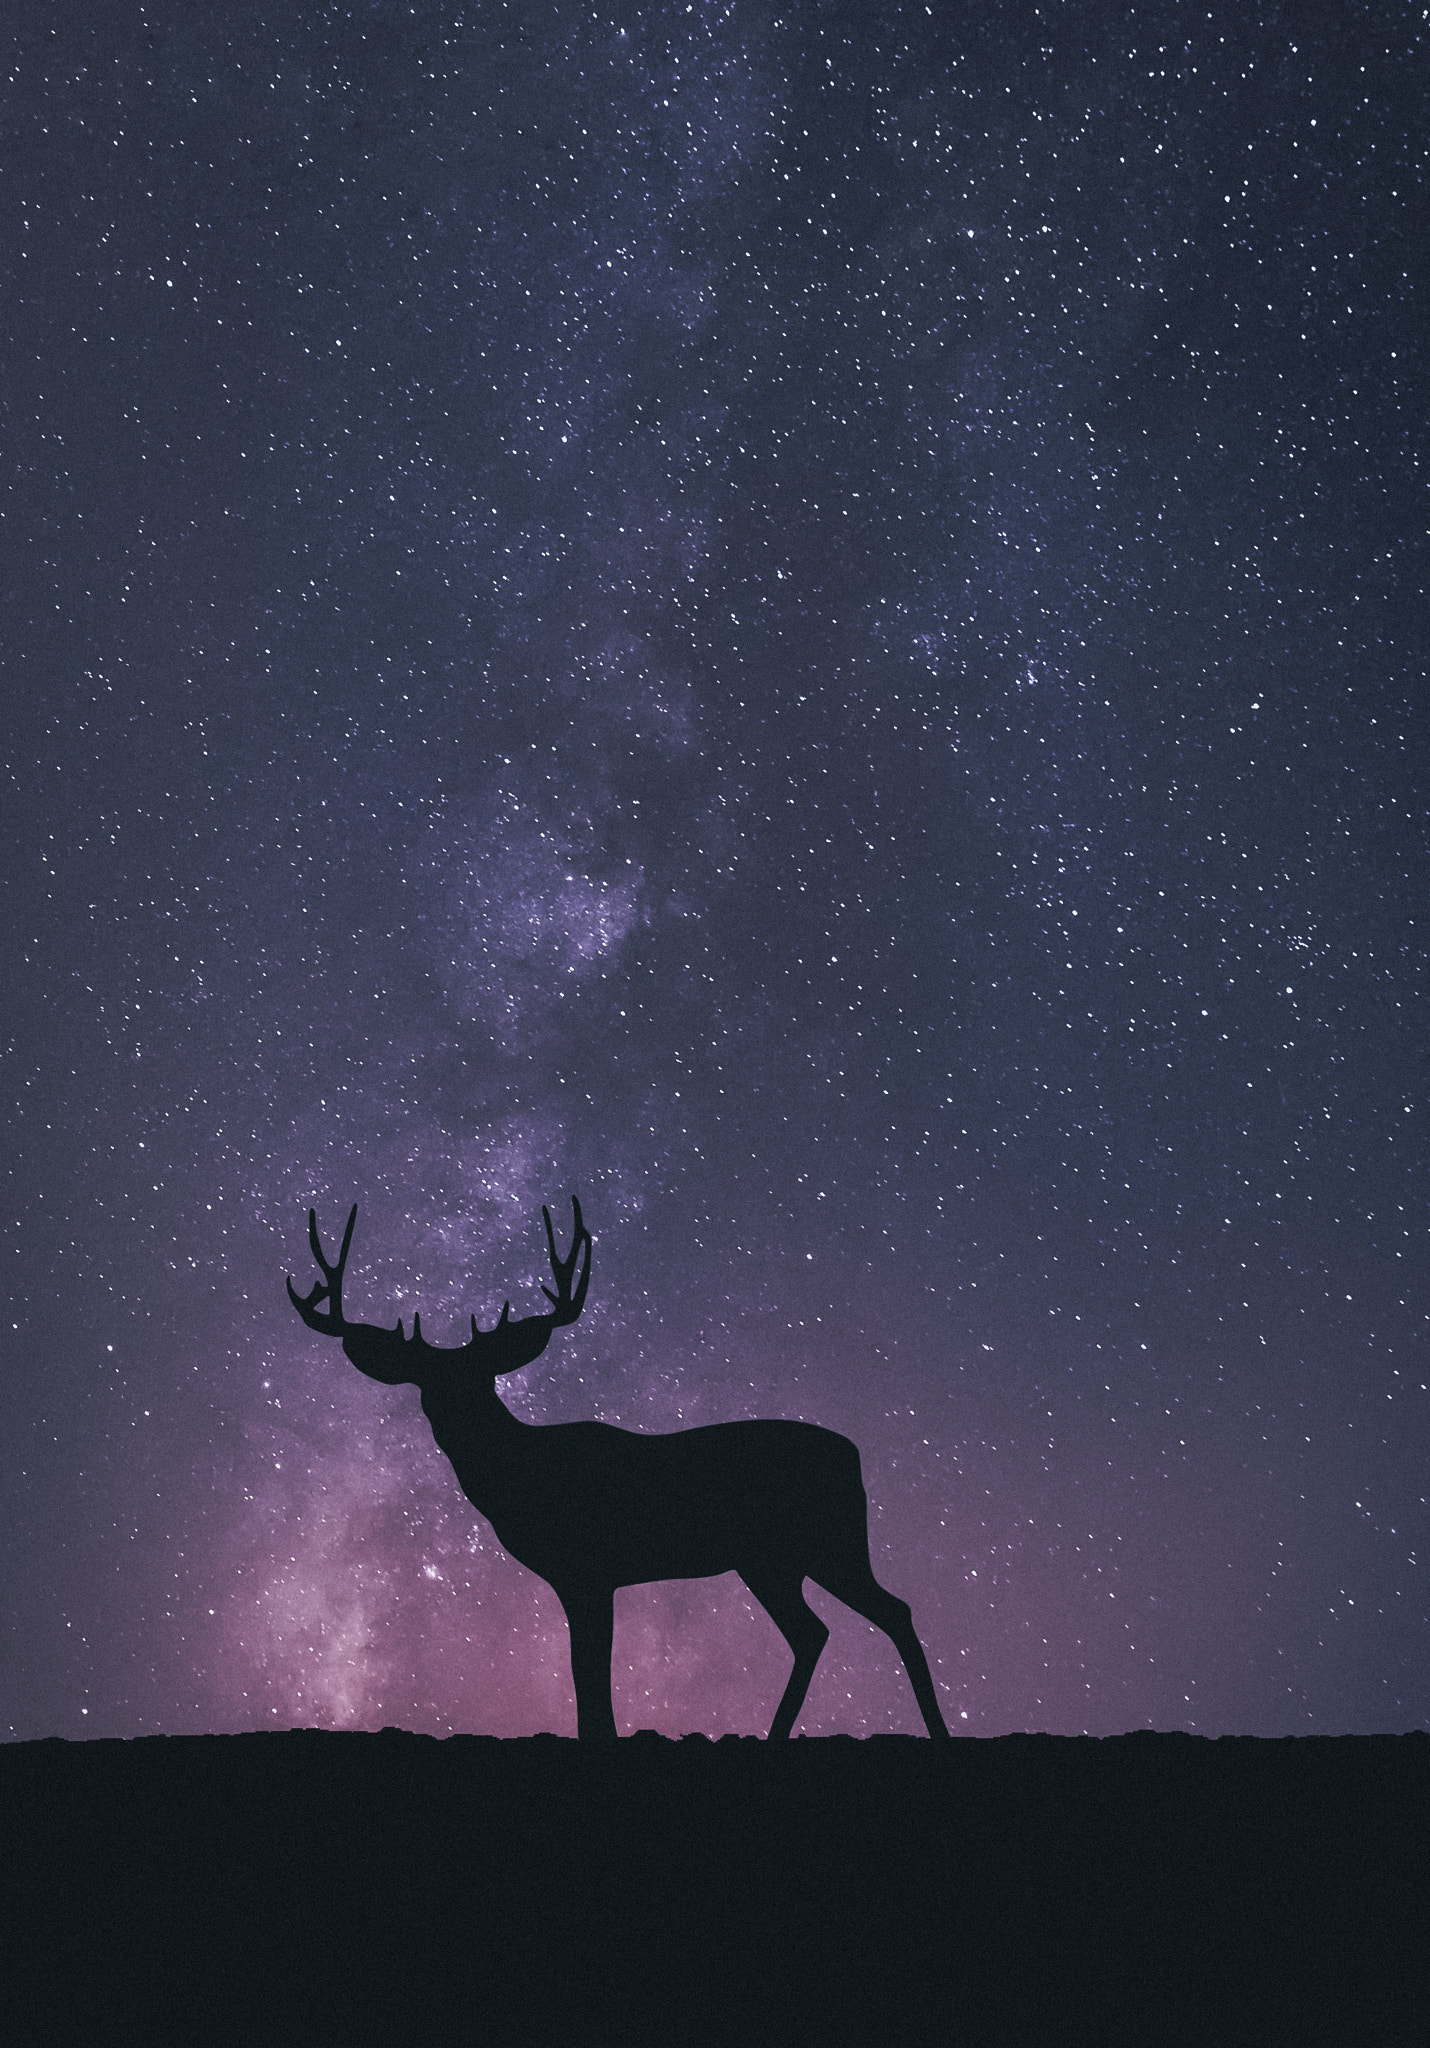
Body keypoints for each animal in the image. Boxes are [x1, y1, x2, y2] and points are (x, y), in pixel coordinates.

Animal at [287, 1198, 950, 1741]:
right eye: (428, 1386)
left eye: (484, 1380)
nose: (453, 1425)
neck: (524, 1476)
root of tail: (853, 1454)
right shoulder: (573, 1578)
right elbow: (583, 1672)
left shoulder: (591, 1569)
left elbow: (591, 1673)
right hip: (771, 1560)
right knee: (818, 1631)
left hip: (827, 1541)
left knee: (888, 1611)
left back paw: (934, 1731)